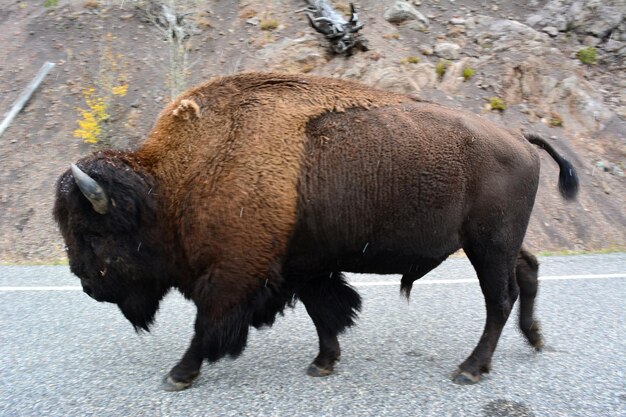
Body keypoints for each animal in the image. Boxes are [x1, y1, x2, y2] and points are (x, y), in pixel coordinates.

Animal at [53, 70, 576, 390]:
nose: (86, 285)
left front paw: (178, 375)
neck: (173, 184)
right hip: (498, 244)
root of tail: (519, 137)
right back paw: (534, 339)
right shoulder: (302, 267)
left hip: (487, 245)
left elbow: (207, 325)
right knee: (527, 272)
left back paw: (470, 369)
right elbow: (324, 312)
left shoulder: (231, 275)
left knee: (499, 298)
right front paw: (323, 362)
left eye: (93, 233)